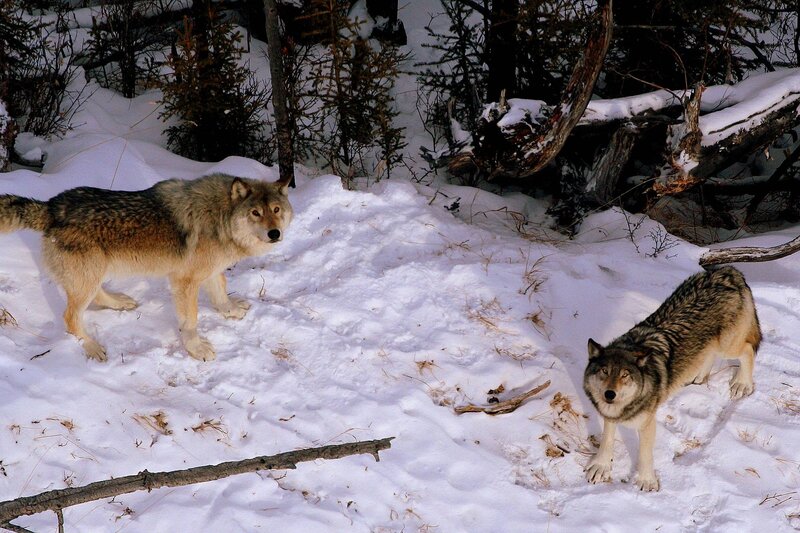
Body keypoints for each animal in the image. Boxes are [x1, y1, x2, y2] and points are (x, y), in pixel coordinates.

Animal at [0, 173, 292, 362]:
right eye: (255, 213)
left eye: (276, 209)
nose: (274, 233)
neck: (220, 216)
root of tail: (51, 206)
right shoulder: (185, 281)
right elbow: (191, 320)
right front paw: (196, 349)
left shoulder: (209, 271)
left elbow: (221, 291)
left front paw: (230, 310)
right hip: (89, 276)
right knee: (70, 318)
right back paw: (92, 347)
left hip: (95, 273)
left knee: (94, 298)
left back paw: (120, 302)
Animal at [583, 266, 761, 491]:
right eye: (604, 371)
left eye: (625, 375)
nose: (609, 394)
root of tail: (730, 270)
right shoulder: (611, 415)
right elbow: (607, 439)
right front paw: (601, 466)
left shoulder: (647, 423)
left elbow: (645, 454)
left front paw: (646, 481)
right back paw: (698, 378)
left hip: (728, 346)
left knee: (748, 350)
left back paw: (741, 384)